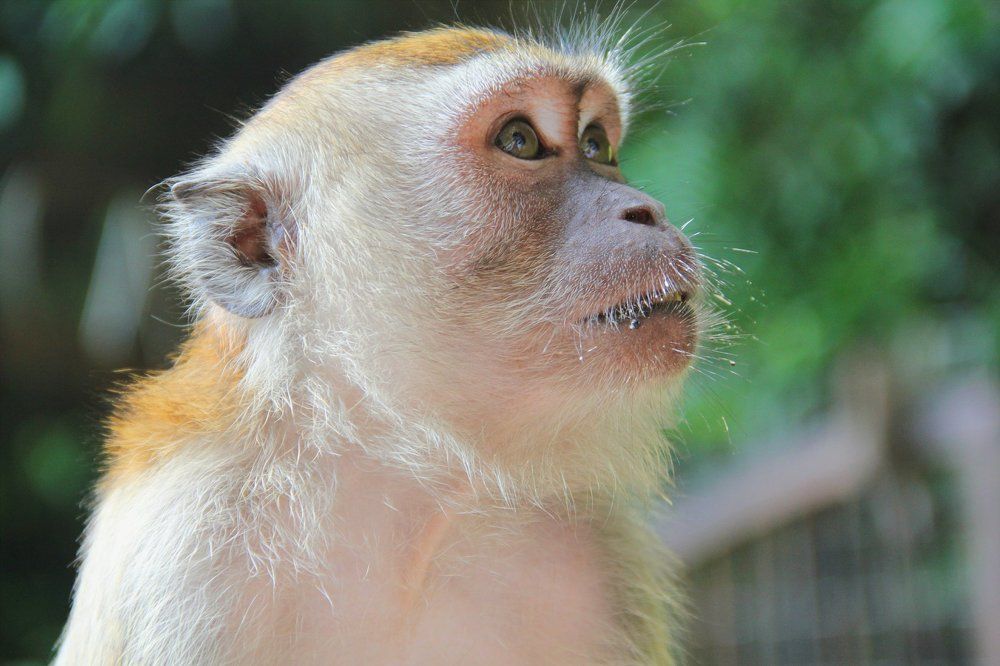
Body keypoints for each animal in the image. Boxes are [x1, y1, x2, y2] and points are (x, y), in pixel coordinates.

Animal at [55, 24, 708, 666]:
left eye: (596, 144)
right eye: (520, 140)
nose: (648, 211)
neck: (415, 487)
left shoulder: (607, 551)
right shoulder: (185, 558)